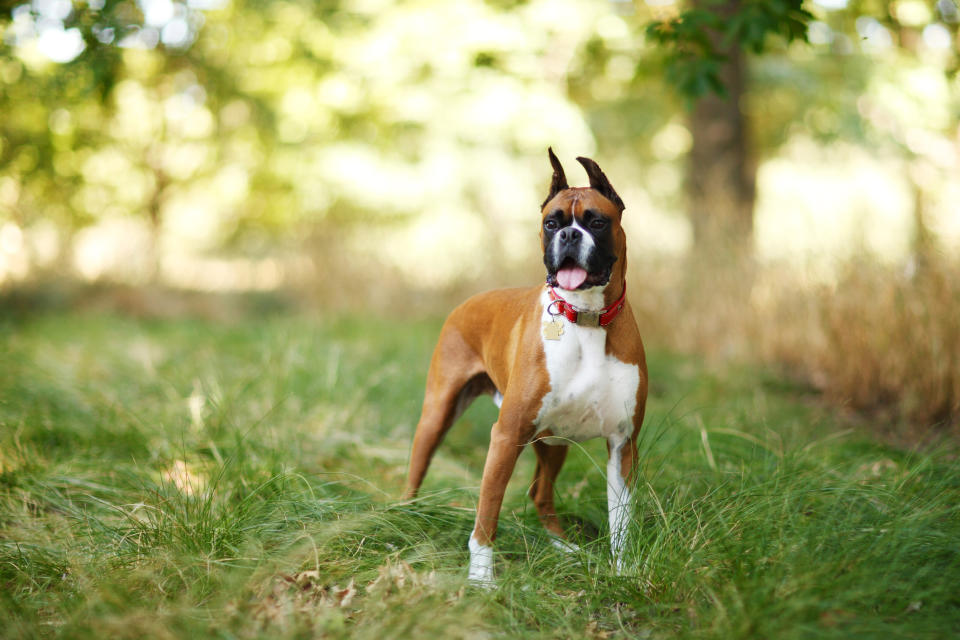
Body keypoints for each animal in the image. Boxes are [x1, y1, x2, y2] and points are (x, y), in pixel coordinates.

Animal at [402, 149, 648, 584]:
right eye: (551, 222)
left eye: (596, 222)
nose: (569, 236)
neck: (585, 319)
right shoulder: (506, 436)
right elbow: (487, 513)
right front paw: (482, 581)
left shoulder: (622, 445)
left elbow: (622, 521)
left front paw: (623, 573)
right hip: (438, 414)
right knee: (416, 470)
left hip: (552, 442)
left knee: (540, 492)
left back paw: (567, 549)